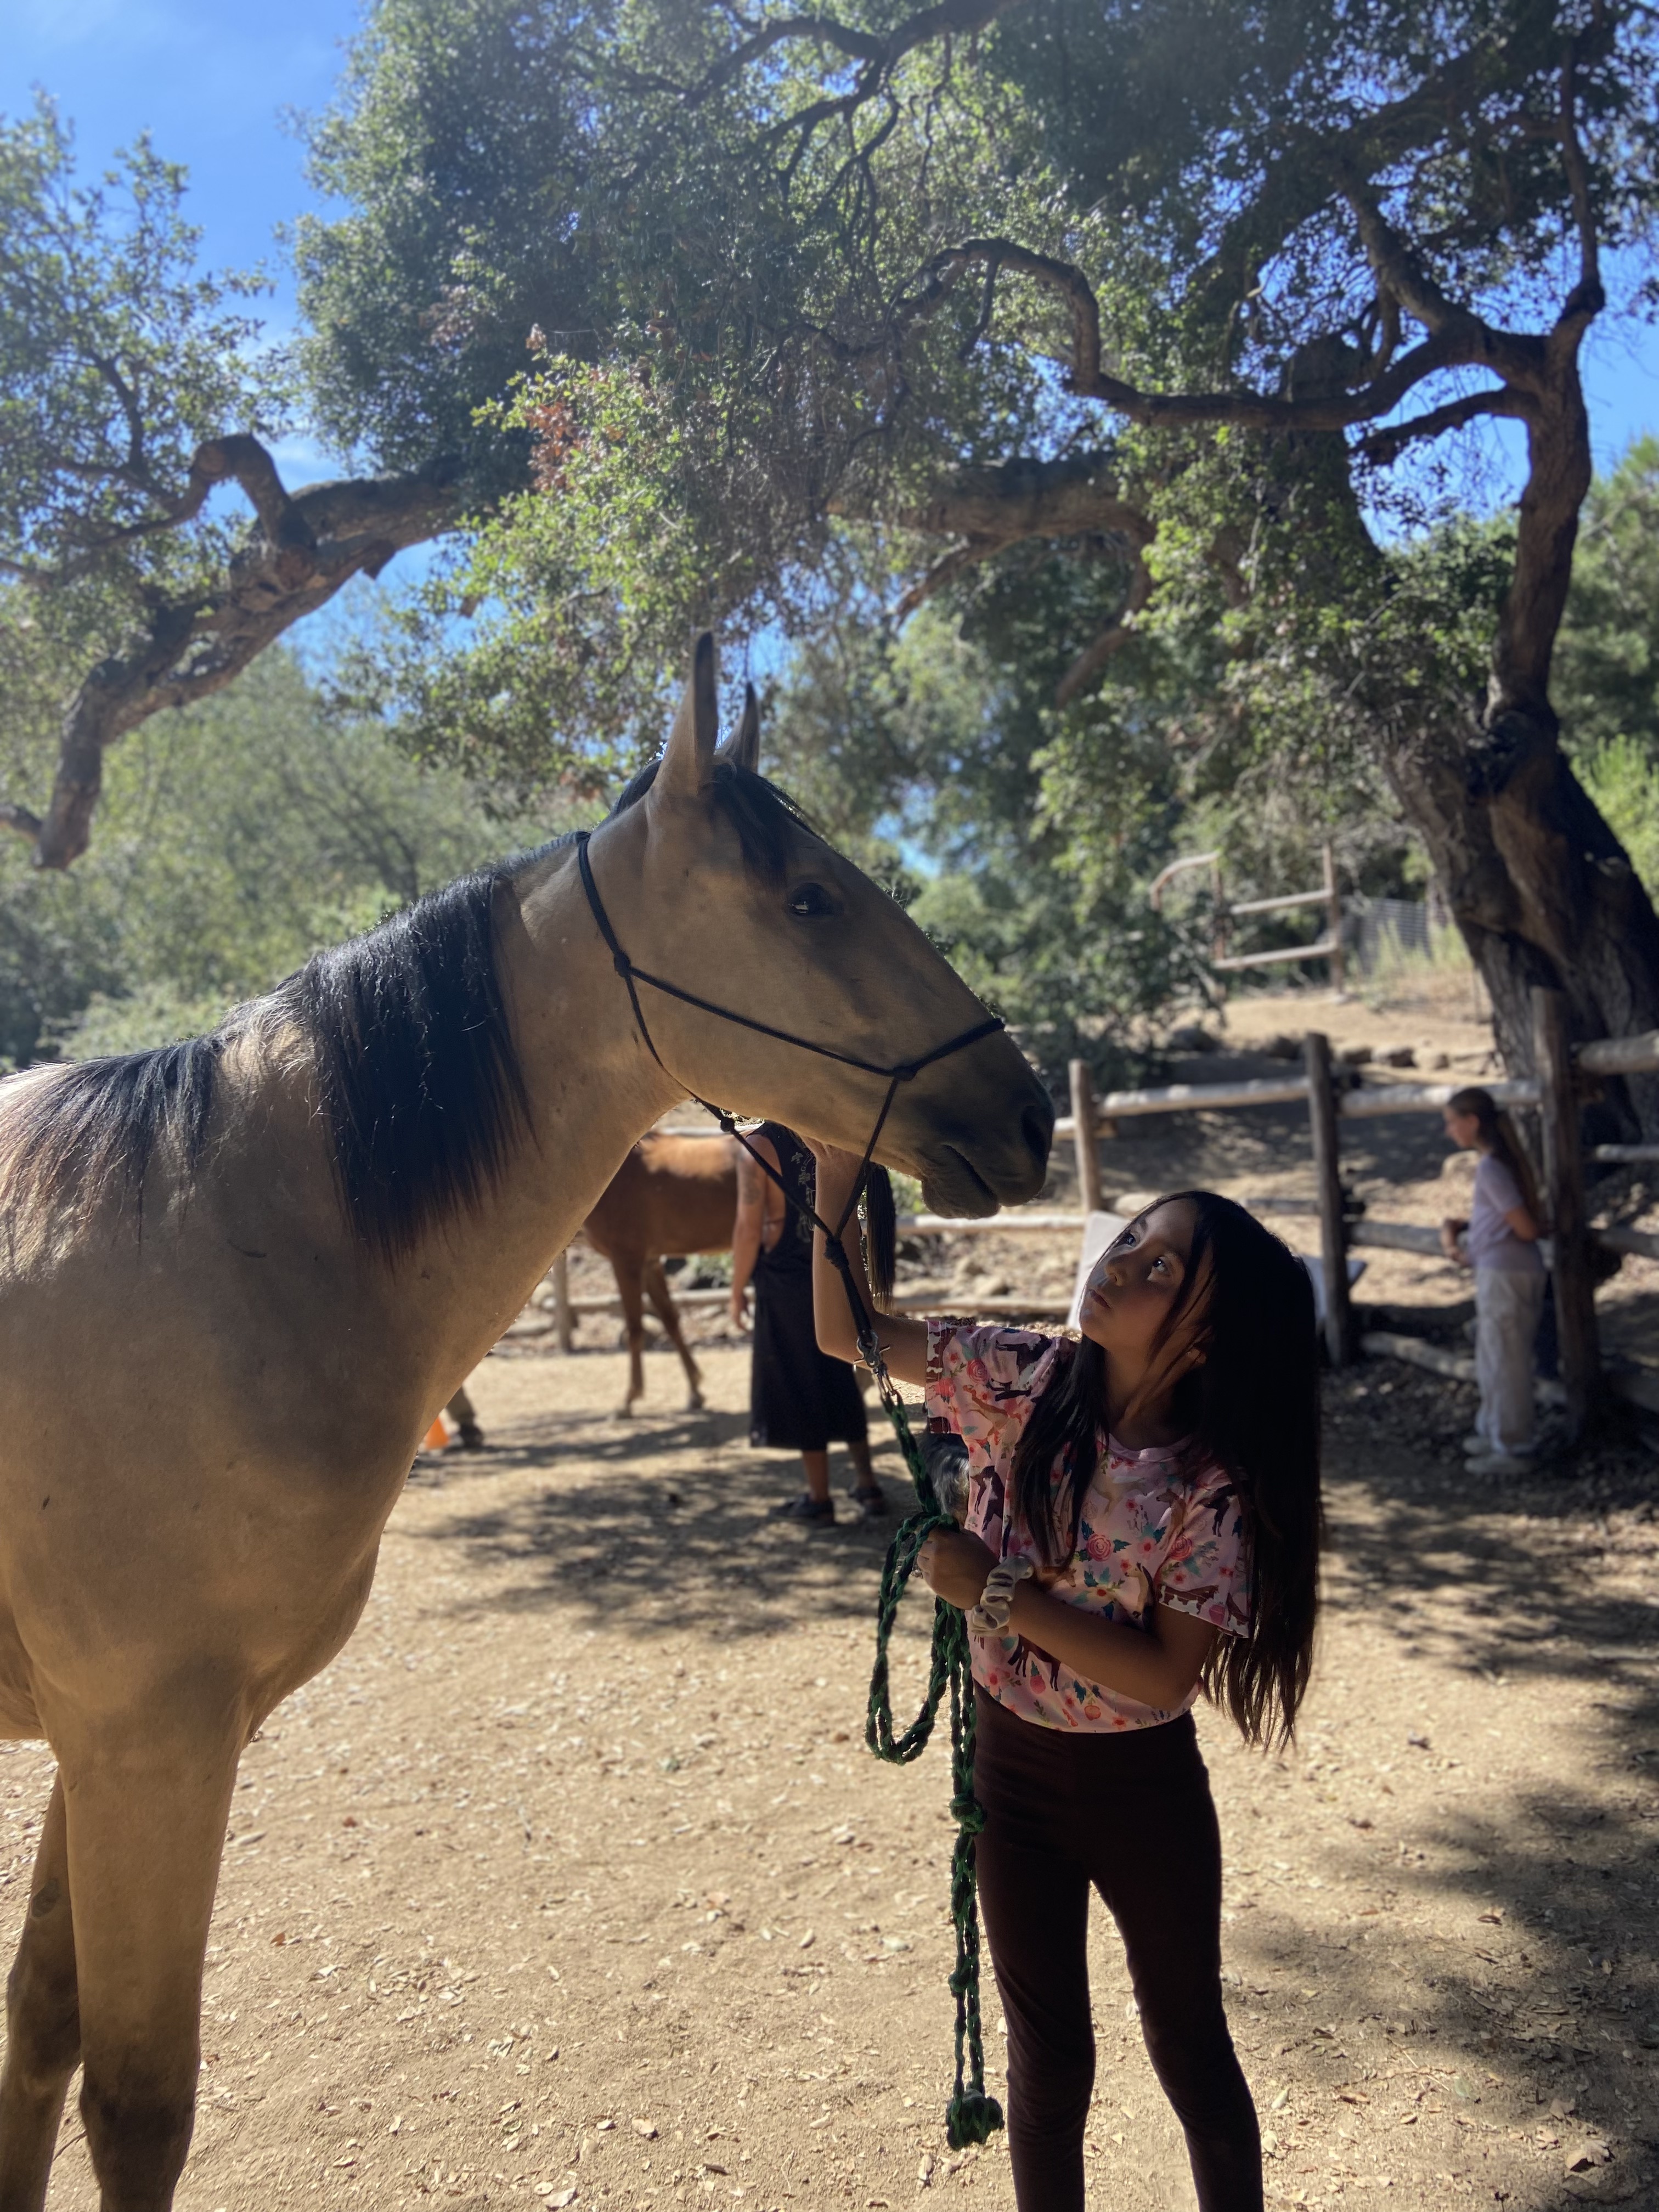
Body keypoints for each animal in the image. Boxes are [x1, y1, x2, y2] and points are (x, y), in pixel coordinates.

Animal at [0, 634, 1052, 2211]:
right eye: (810, 898)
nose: (1029, 1109)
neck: (212, 1242)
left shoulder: (110, 1746)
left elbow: (40, 2036)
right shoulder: (143, 1742)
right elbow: (131, 2098)